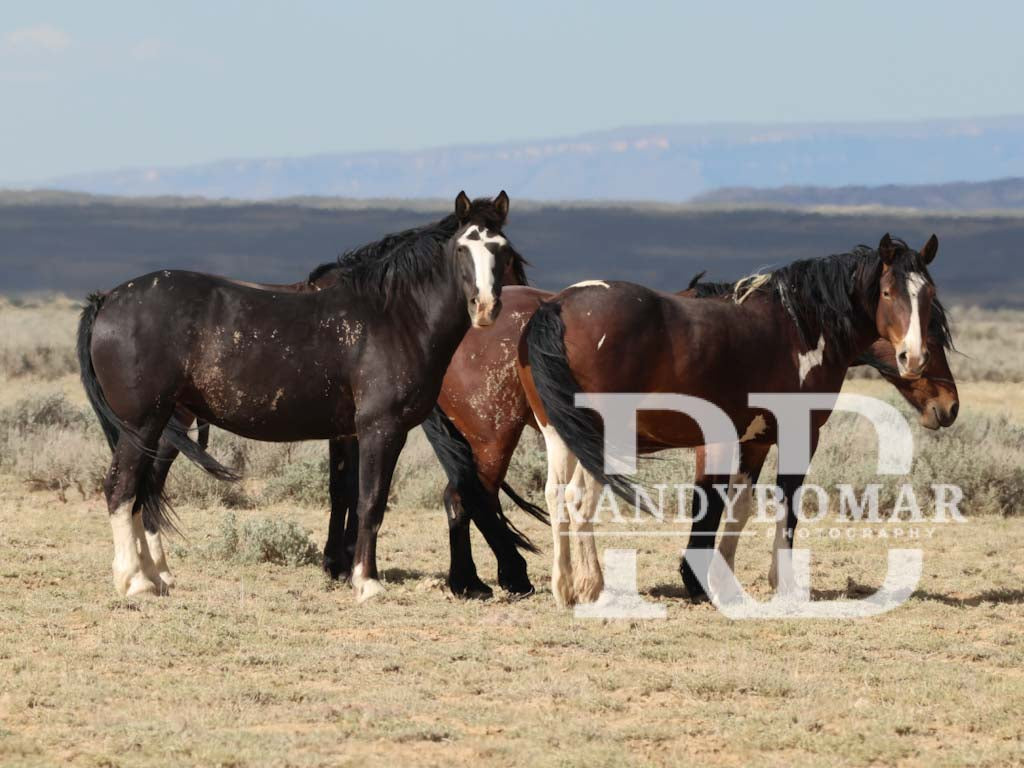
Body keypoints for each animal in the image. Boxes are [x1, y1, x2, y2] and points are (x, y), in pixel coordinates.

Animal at [78, 191, 515, 602]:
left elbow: (351, 497)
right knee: (121, 489)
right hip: (143, 424)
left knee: (142, 491)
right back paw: (135, 581)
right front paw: (368, 583)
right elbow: (371, 502)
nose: (485, 307)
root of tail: (107, 299)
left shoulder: (351, 433)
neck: (394, 317)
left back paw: (155, 577)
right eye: (462, 248)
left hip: (158, 425)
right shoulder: (382, 428)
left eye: (502, 249)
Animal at [517, 235, 950, 606]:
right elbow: (784, 507)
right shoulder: (798, 435)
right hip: (601, 437)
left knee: (556, 495)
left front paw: (721, 583)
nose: (914, 358)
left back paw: (564, 586)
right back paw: (592, 586)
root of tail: (558, 306)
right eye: (888, 293)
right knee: (580, 499)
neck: (800, 328)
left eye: (929, 296)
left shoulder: (753, 440)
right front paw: (783, 585)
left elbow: (738, 508)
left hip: (559, 434)